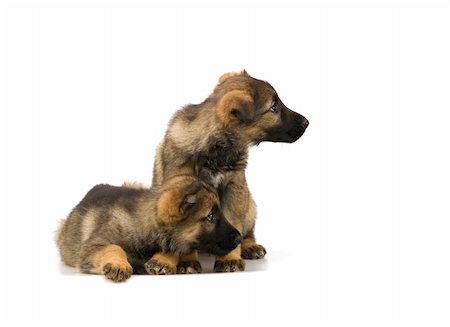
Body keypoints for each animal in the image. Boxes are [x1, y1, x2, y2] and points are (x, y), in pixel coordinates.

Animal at [55, 177, 243, 282]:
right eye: (210, 216)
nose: (239, 238)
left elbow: (173, 249)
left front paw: (163, 260)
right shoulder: (91, 247)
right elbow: (114, 247)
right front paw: (119, 264)